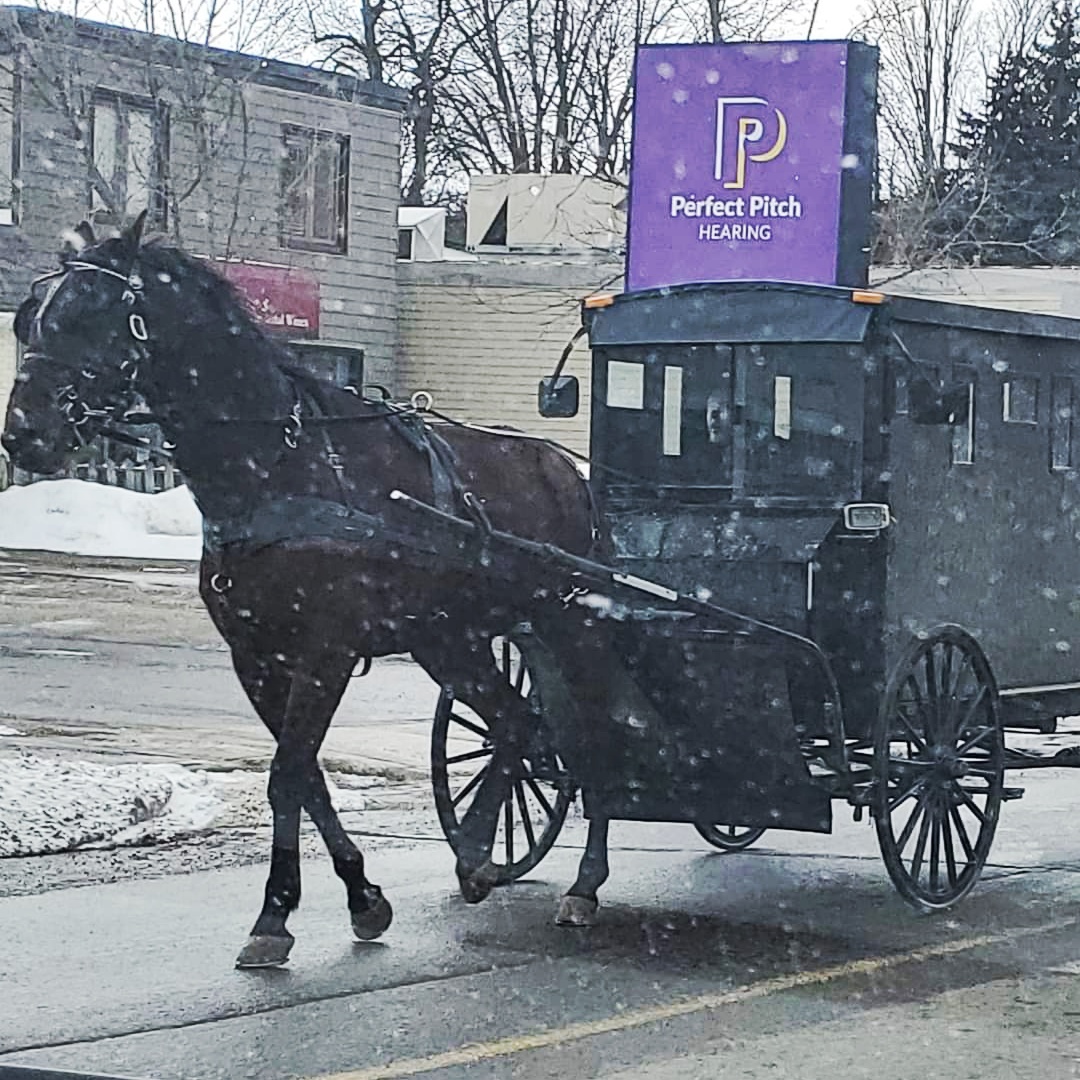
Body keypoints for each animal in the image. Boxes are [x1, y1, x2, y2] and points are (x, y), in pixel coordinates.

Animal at [2, 212, 617, 972]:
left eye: (90, 315)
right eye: (29, 318)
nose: (23, 433)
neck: (273, 469)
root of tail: (567, 467)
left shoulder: (326, 650)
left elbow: (287, 774)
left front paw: (275, 914)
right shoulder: (258, 657)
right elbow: (307, 777)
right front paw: (359, 898)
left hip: (572, 627)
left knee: (589, 737)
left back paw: (585, 884)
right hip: (452, 638)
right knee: (516, 724)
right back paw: (477, 859)